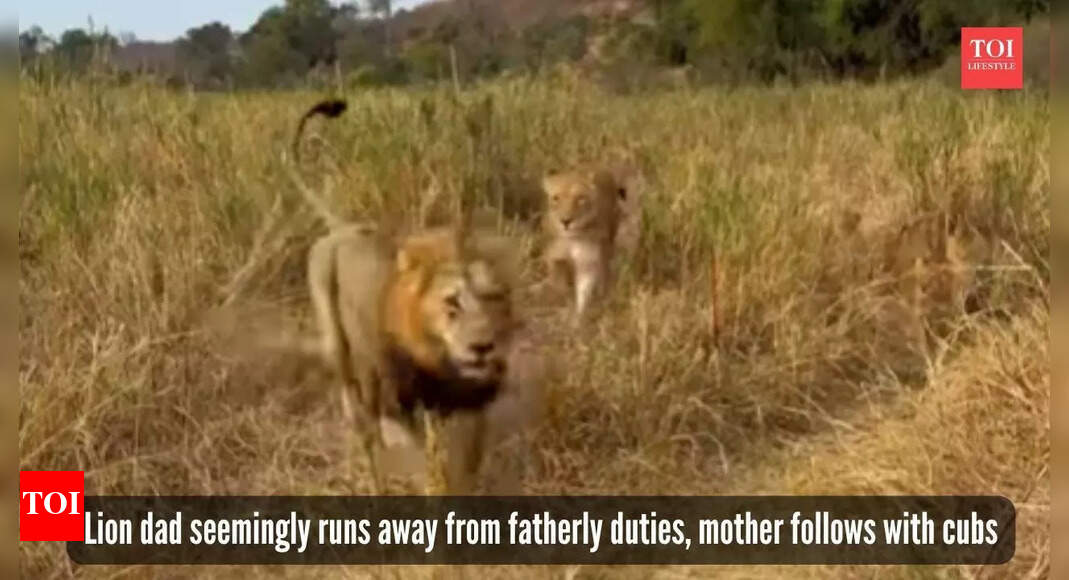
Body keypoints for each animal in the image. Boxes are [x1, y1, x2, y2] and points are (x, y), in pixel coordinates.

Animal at [288, 99, 536, 493]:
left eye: (494, 298)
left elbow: (469, 461)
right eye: (452, 303)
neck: (443, 362)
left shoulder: (475, 407)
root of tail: (342, 228)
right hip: (341, 348)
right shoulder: (403, 407)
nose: (483, 347)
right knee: (360, 417)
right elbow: (431, 466)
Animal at [542, 159, 644, 317]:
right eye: (556, 198)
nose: (566, 221)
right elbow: (559, 284)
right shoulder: (555, 257)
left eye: (580, 198)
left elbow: (584, 291)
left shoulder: (588, 262)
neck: (573, 238)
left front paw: (579, 318)